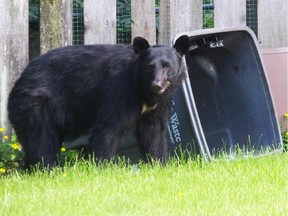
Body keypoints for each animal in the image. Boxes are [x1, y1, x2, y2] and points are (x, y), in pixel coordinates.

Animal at [7, 35, 189, 169]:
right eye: (150, 67)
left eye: (167, 66)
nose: (157, 85)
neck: (143, 90)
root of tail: (20, 78)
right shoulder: (119, 91)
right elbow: (108, 128)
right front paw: (102, 167)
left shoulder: (158, 106)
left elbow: (154, 132)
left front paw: (159, 163)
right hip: (35, 105)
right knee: (41, 140)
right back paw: (45, 168)